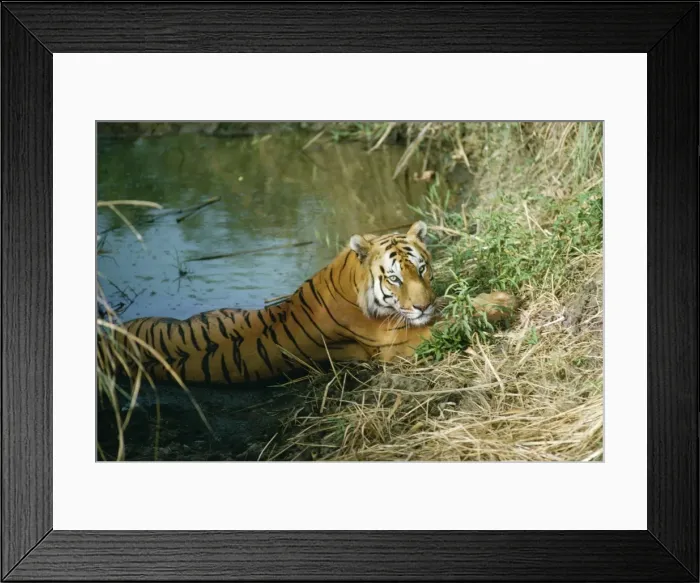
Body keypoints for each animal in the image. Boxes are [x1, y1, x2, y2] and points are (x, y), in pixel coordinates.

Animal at [100, 221, 516, 386]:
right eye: (395, 278)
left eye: (422, 268)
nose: (421, 307)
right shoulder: (395, 341)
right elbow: (450, 322)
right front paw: (499, 303)